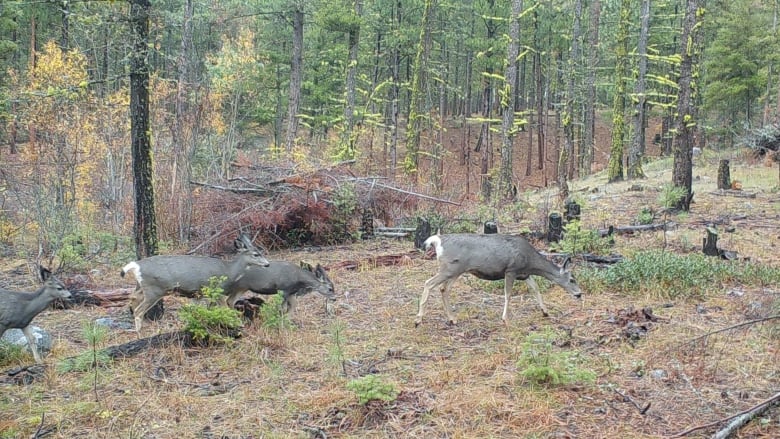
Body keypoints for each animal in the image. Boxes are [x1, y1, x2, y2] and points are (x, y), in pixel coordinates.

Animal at [120, 235, 270, 332]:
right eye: (256, 254)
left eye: (260, 252)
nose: (267, 264)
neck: (228, 270)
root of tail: (136, 265)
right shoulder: (216, 289)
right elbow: (226, 308)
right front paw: (238, 324)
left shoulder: (199, 294)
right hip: (154, 290)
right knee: (139, 310)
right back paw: (140, 333)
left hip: (141, 287)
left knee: (133, 299)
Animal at [418, 234, 580, 326]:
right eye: (572, 279)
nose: (579, 294)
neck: (530, 262)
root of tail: (438, 241)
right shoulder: (511, 270)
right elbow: (508, 294)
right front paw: (505, 319)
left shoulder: (524, 274)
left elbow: (535, 289)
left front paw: (545, 312)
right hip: (450, 268)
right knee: (428, 283)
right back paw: (418, 320)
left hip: (456, 270)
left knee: (443, 288)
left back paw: (452, 318)